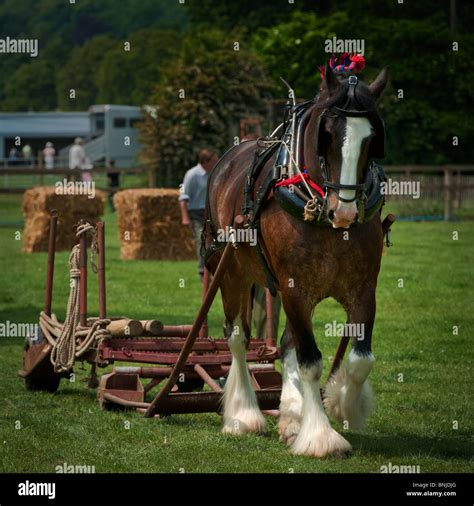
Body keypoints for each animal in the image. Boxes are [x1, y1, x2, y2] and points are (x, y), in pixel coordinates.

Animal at [206, 64, 386, 458]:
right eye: (327, 134)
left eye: (371, 139)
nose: (344, 211)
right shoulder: (294, 289)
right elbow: (310, 361)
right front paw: (320, 436)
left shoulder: (363, 289)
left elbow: (360, 359)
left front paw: (343, 404)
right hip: (231, 274)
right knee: (238, 339)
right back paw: (243, 415)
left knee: (286, 343)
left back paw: (290, 417)